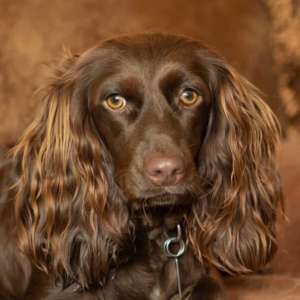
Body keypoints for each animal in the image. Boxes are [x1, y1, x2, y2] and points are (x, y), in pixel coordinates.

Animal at [0, 32, 284, 300]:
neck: (153, 238)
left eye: (188, 96)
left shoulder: (205, 277)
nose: (167, 171)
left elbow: (213, 289)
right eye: (115, 100)